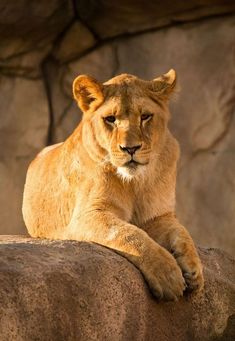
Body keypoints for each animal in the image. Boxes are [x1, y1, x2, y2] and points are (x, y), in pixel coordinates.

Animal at [22, 69, 204, 300]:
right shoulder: (87, 216)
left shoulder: (158, 216)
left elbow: (182, 233)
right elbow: (130, 235)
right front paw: (168, 273)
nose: (131, 148)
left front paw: (195, 272)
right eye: (110, 119)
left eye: (145, 116)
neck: (135, 183)